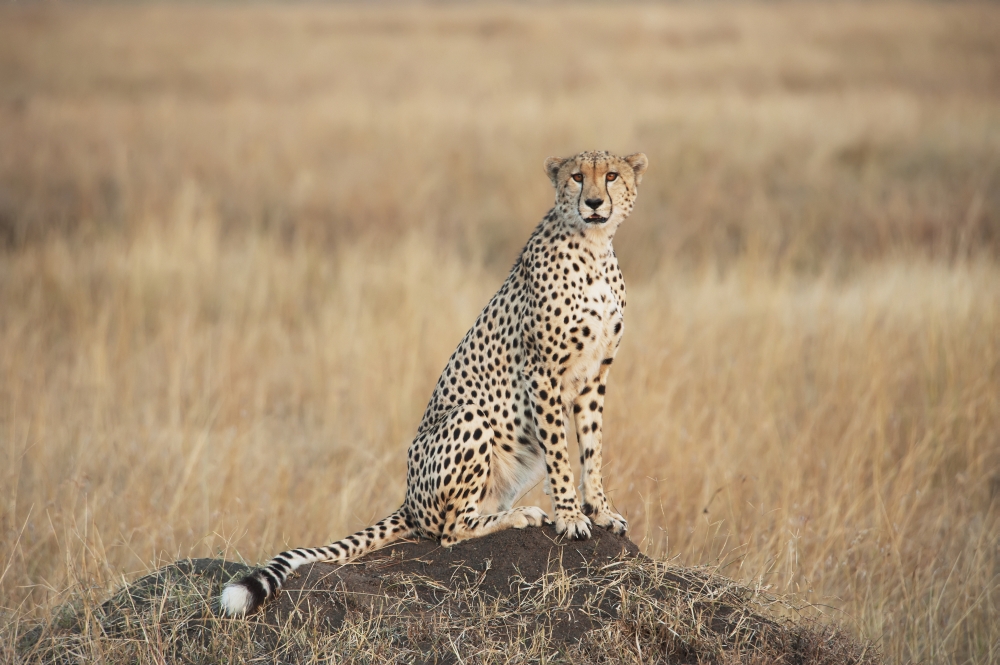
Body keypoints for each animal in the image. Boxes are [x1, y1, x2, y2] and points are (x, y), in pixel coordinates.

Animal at [220, 150, 648, 617]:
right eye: (576, 177)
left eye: (611, 175)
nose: (593, 202)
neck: (594, 247)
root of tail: (409, 500)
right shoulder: (543, 373)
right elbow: (561, 454)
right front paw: (570, 516)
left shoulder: (595, 375)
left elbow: (592, 449)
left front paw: (600, 510)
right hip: (469, 419)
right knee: (448, 531)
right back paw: (520, 516)